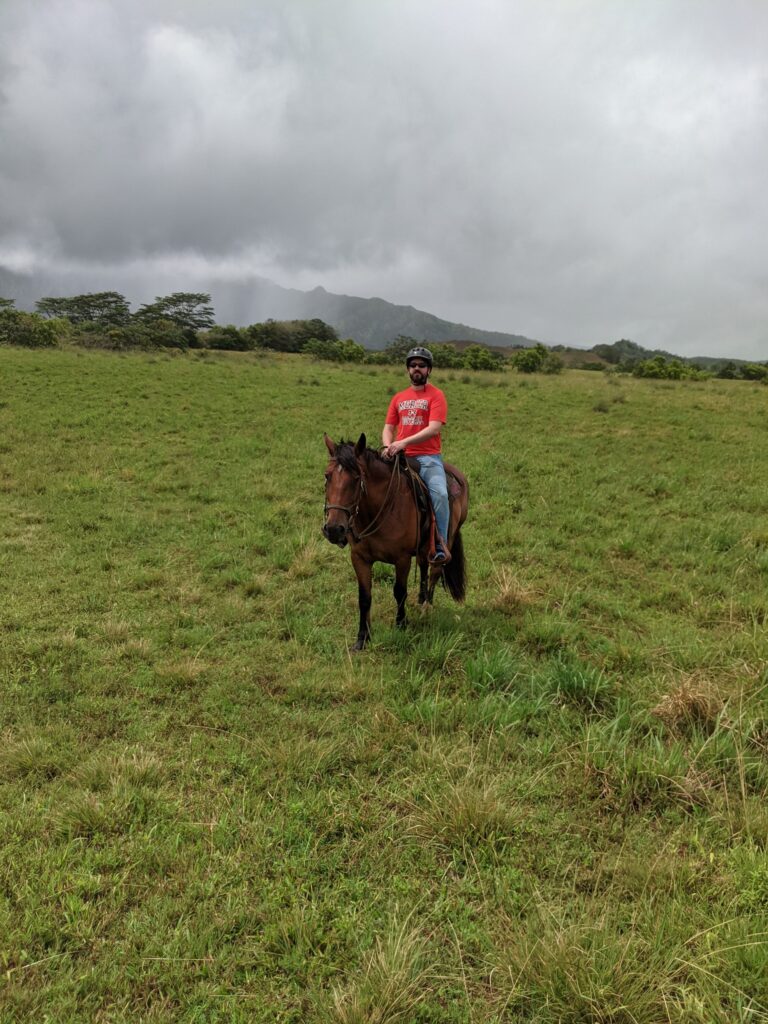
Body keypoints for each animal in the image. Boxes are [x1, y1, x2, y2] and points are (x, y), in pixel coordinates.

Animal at [323, 432, 468, 647]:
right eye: (327, 476)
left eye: (356, 478)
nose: (334, 529)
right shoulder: (359, 558)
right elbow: (364, 597)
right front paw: (363, 637)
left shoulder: (402, 559)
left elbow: (399, 592)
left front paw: (401, 625)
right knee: (424, 565)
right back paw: (421, 599)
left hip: (445, 540)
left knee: (435, 570)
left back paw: (426, 608)